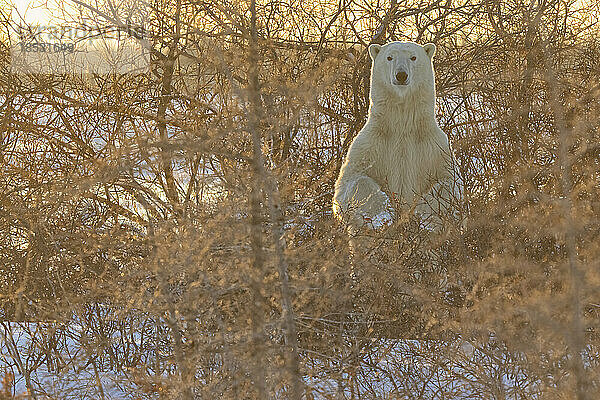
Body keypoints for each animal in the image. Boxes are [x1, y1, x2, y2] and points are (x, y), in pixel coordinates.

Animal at [332, 41, 460, 230]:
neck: (402, 126)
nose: (401, 75)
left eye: (413, 57)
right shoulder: (371, 144)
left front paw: (425, 218)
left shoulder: (433, 147)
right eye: (389, 57)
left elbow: (449, 182)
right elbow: (351, 181)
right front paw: (383, 216)